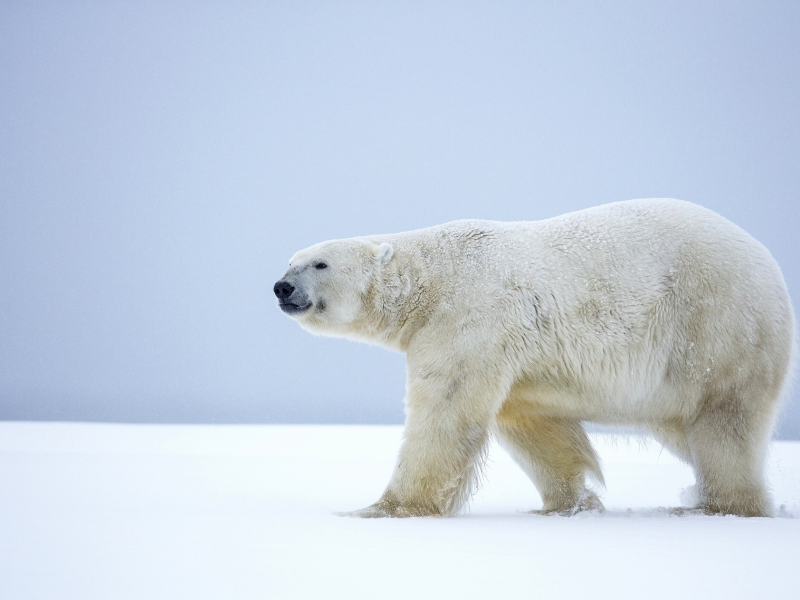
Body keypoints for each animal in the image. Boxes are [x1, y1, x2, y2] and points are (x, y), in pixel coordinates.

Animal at [274, 198, 792, 516]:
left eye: (320, 263)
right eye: (290, 261)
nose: (282, 287)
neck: (432, 279)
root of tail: (771, 267)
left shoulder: (468, 316)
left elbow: (445, 413)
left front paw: (382, 508)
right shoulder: (514, 353)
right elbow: (531, 422)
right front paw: (568, 503)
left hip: (717, 326)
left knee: (724, 425)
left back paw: (714, 505)